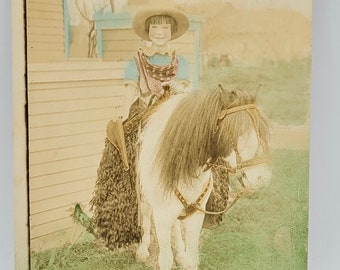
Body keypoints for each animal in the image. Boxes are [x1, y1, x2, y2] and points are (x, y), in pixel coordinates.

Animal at [135, 87, 270, 268]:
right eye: (239, 131)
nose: (261, 177)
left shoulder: (195, 215)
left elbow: (192, 258)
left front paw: (184, 257)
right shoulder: (161, 216)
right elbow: (165, 260)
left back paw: (180, 253)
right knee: (145, 211)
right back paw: (143, 249)